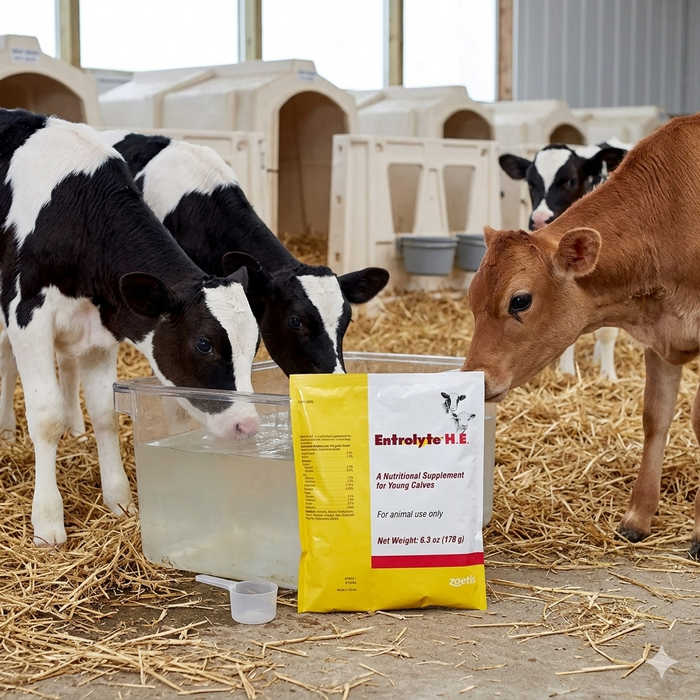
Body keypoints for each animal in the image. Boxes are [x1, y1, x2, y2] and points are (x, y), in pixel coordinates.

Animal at [0, 109, 264, 546]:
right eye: (204, 344)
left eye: (256, 345)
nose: (247, 425)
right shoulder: (26, 313)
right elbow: (46, 417)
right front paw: (48, 523)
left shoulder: (99, 329)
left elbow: (105, 412)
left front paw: (119, 499)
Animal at [499, 140, 631, 381]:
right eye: (531, 183)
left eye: (570, 181)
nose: (539, 220)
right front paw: (567, 371)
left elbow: (607, 333)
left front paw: (607, 376)